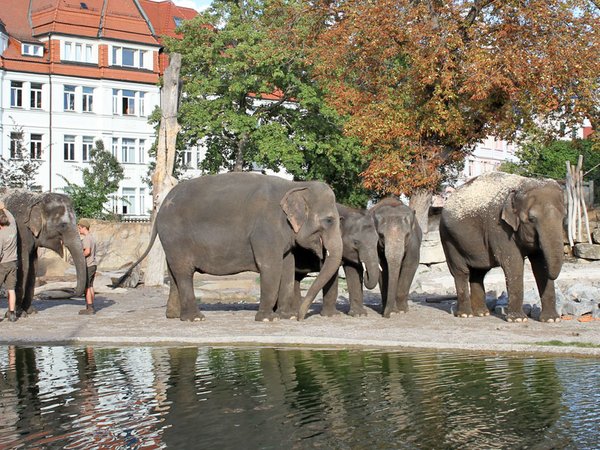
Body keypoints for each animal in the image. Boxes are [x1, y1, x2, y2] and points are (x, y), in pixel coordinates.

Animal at [117, 173, 342, 324]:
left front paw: (286, 317)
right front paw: (268, 319)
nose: (302, 317)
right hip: (176, 237)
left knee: (174, 273)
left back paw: (174, 316)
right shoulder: (265, 230)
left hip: (171, 242)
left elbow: (287, 266)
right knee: (184, 272)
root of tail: (160, 208)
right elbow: (270, 267)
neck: (295, 185)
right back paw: (196, 319)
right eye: (330, 220)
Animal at [438, 172, 564, 324]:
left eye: (563, 217)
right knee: (461, 271)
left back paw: (481, 313)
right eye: (531, 219)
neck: (520, 185)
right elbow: (514, 264)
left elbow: (539, 265)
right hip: (448, 238)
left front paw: (551, 320)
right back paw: (465, 315)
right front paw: (518, 320)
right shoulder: (499, 228)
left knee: (478, 272)